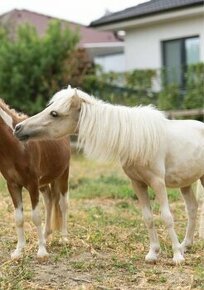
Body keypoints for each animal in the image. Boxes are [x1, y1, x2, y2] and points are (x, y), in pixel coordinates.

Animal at [0, 100, 70, 260]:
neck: (17, 146)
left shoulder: (32, 184)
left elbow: (36, 216)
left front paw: (42, 251)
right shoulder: (13, 185)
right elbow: (19, 218)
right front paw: (18, 251)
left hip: (63, 175)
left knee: (63, 204)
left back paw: (64, 238)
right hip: (43, 183)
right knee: (49, 201)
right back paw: (45, 234)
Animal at [14, 85, 204, 262]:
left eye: (54, 113)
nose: (18, 128)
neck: (137, 140)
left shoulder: (158, 183)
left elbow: (167, 216)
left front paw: (177, 256)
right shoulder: (138, 183)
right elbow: (148, 217)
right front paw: (153, 253)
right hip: (186, 183)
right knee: (192, 208)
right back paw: (185, 245)